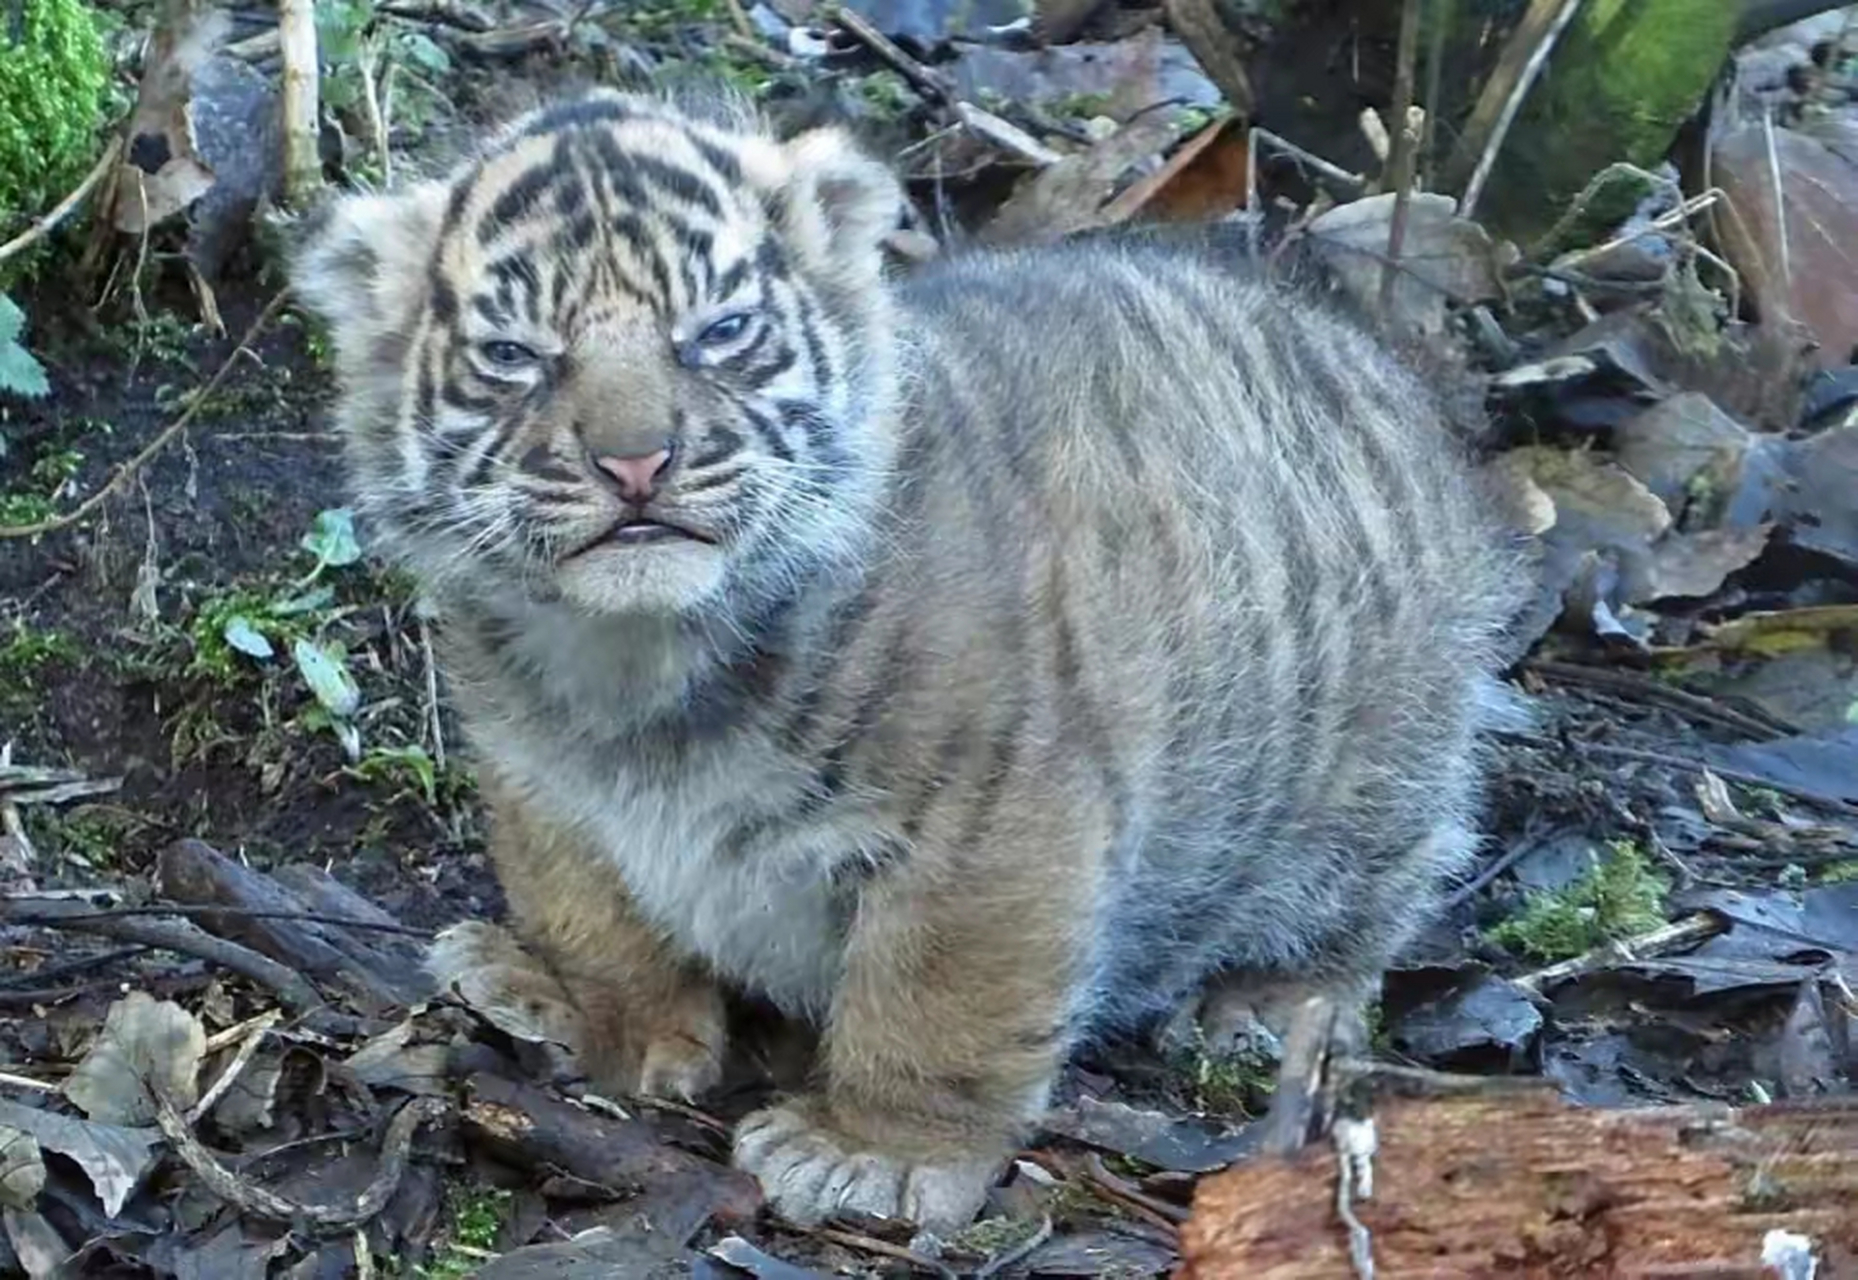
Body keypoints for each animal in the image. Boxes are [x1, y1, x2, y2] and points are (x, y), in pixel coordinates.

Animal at [290, 87, 1531, 1234]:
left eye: (719, 331)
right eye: (514, 355)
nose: (636, 461)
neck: (636, 664)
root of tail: (1388, 378)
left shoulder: (992, 827)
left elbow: (937, 999)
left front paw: (875, 1153)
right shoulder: (543, 786)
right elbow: (594, 917)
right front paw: (601, 1017)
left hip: (1364, 785)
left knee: (1366, 912)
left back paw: (1265, 1007)